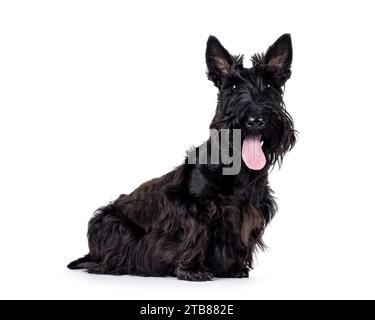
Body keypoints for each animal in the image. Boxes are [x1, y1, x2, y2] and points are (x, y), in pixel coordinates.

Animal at [67, 33, 296, 282]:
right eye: (234, 87)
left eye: (270, 86)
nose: (255, 121)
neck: (238, 169)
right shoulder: (192, 207)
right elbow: (195, 235)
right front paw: (192, 269)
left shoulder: (249, 211)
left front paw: (233, 268)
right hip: (112, 224)